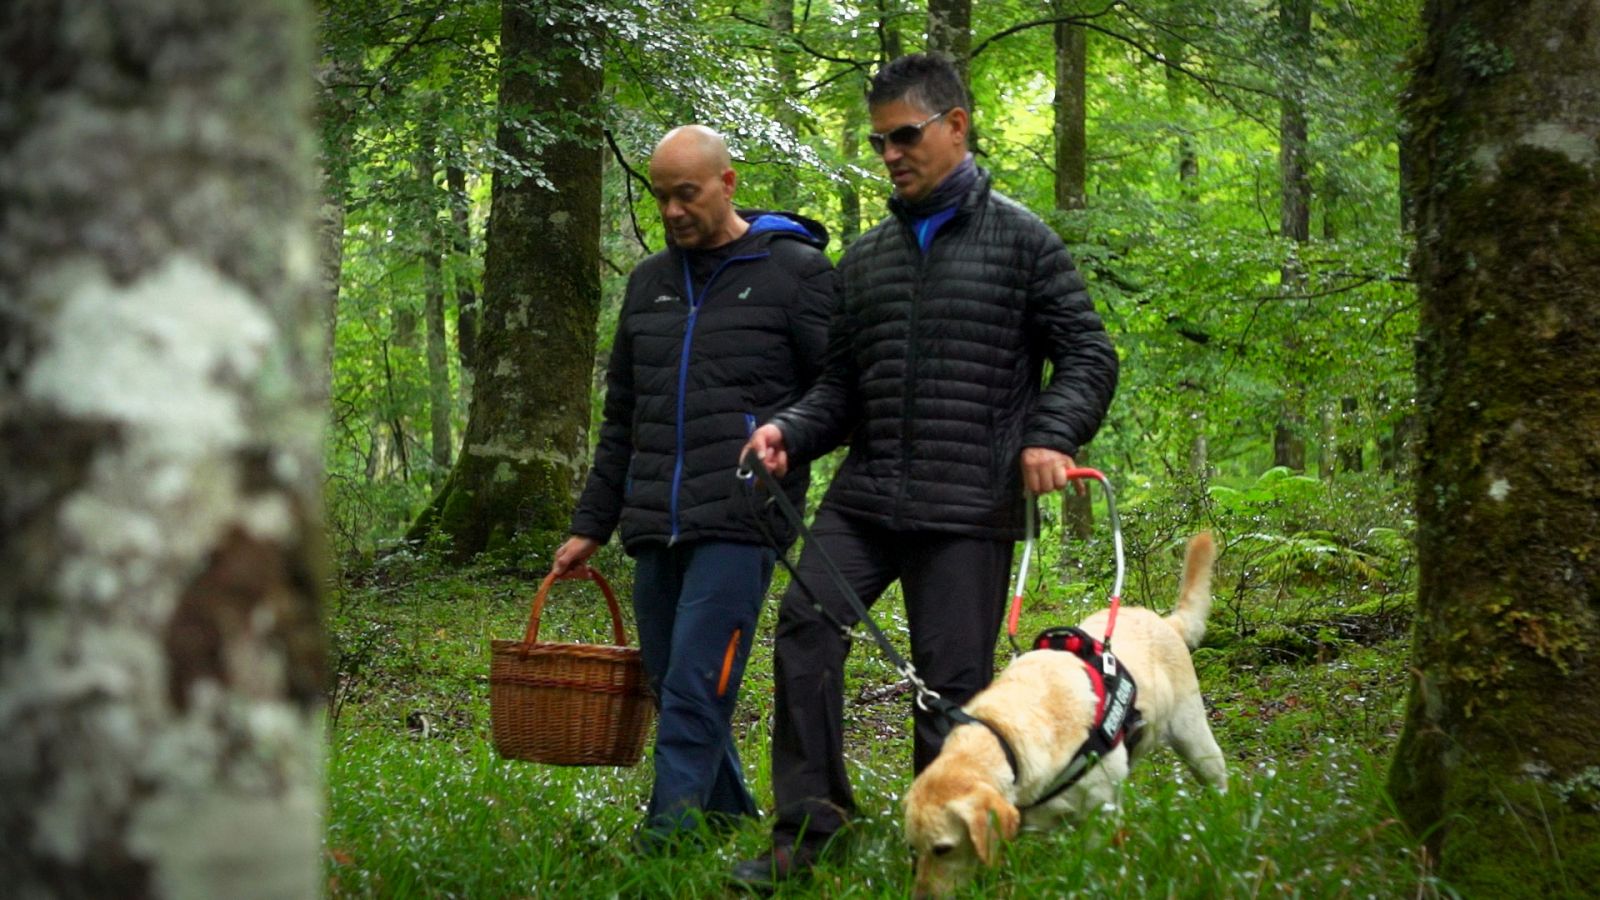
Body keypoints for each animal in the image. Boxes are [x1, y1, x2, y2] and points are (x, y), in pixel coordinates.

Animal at [908, 531, 1228, 890]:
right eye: (913, 849)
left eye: (943, 849)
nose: (919, 896)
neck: (1003, 735)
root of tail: (1166, 623)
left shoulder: (1101, 815)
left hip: (1197, 743)